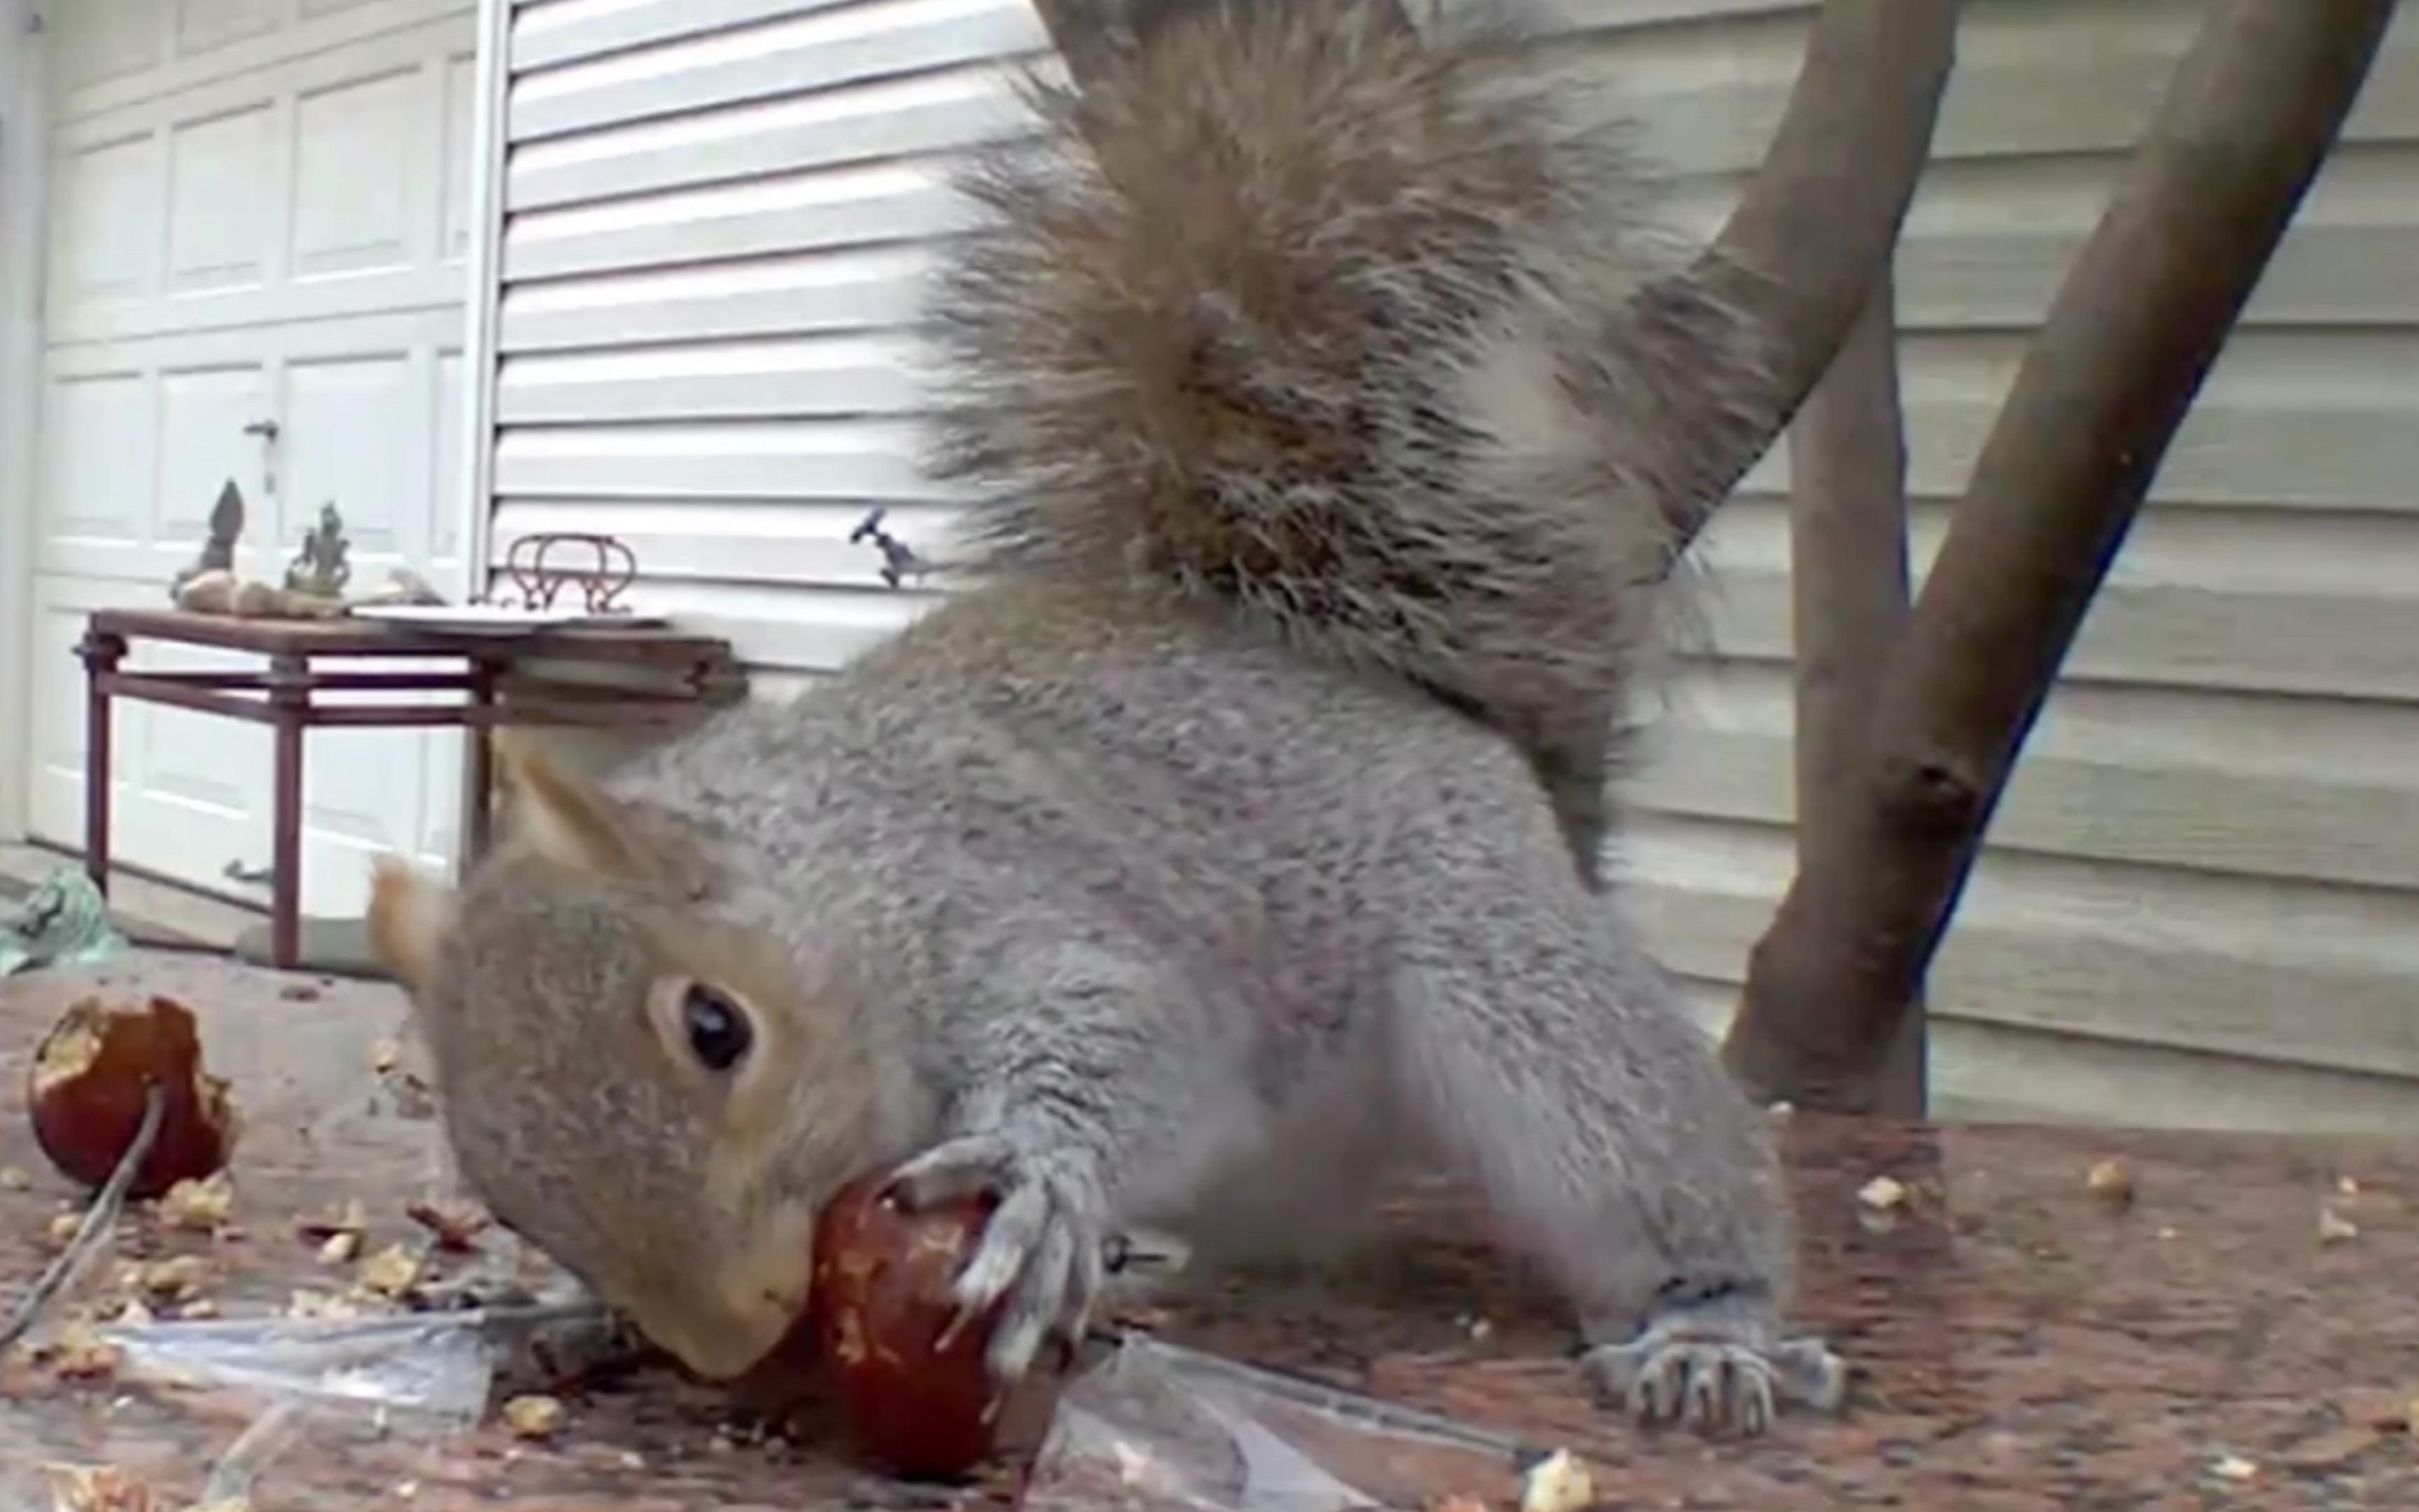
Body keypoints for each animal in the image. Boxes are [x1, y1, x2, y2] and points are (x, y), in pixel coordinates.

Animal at [362, 0, 1828, 1441]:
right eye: (501, 1180)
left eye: (716, 1027)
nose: (734, 1327)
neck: (837, 886)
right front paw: (573, 1317)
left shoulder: (1009, 903)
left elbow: (1123, 1027)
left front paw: (1033, 1171)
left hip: (1510, 975)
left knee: (1646, 1147)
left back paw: (1708, 1326)